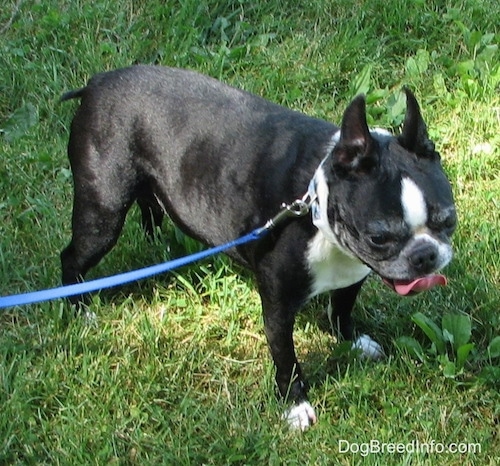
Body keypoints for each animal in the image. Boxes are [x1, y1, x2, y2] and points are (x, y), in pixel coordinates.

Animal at [60, 65, 456, 430]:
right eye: (379, 237)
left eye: (449, 220)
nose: (425, 256)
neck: (314, 207)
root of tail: (97, 82)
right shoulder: (278, 307)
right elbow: (286, 359)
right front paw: (295, 406)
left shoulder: (353, 273)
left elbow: (341, 309)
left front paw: (352, 340)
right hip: (103, 211)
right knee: (72, 256)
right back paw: (81, 308)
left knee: (150, 210)